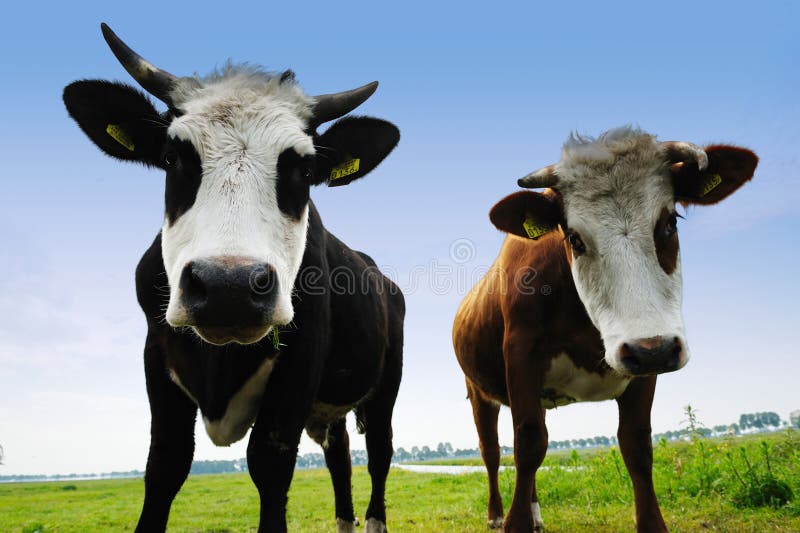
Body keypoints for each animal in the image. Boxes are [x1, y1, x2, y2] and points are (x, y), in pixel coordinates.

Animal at [62, 25, 404, 532]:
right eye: (171, 157)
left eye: (305, 170)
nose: (230, 288)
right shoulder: (155, 356)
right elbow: (165, 463)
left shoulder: (300, 361)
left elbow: (270, 462)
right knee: (339, 454)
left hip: (384, 388)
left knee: (379, 451)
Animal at [454, 128, 760, 532]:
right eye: (574, 237)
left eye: (670, 223)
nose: (653, 350)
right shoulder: (521, 354)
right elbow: (528, 442)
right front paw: (515, 522)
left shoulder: (647, 358)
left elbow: (636, 446)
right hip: (479, 392)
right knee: (491, 451)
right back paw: (496, 514)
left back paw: (536, 513)